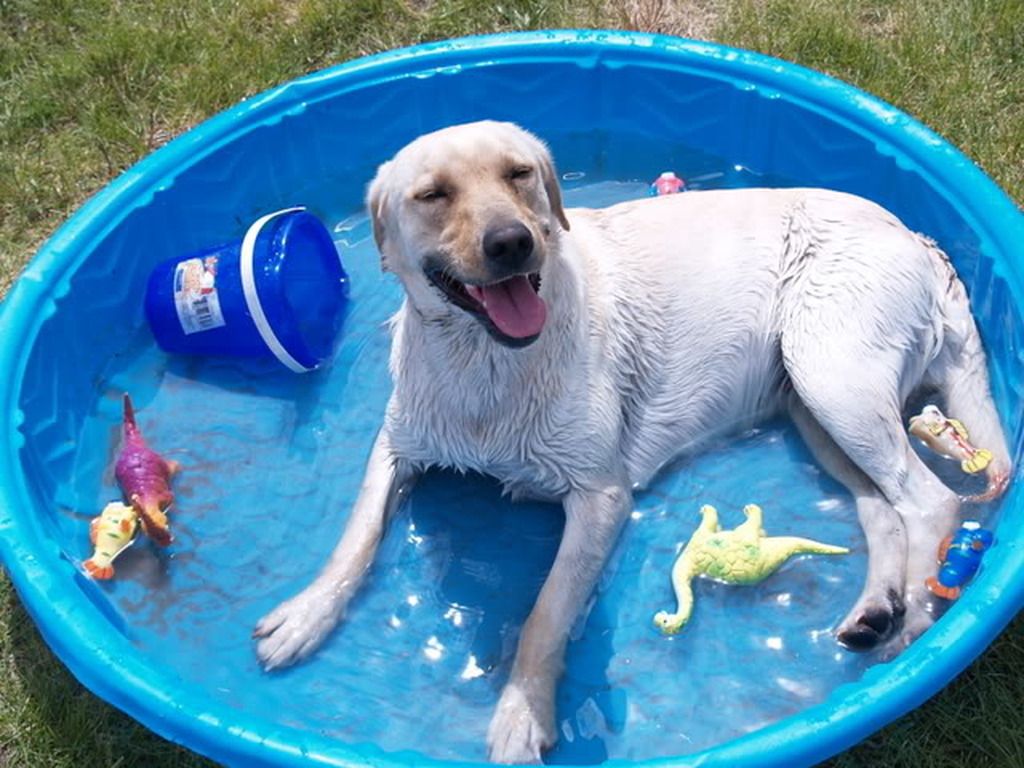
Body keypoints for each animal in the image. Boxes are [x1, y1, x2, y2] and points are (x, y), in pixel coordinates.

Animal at [253, 120, 1007, 765]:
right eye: (433, 194)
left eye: (519, 174)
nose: (511, 242)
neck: (486, 362)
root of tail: (918, 237)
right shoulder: (398, 444)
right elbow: (355, 538)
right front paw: (305, 615)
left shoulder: (600, 496)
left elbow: (545, 614)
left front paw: (521, 715)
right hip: (814, 406)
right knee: (883, 509)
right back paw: (875, 611)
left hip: (834, 376)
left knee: (929, 503)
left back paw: (910, 631)